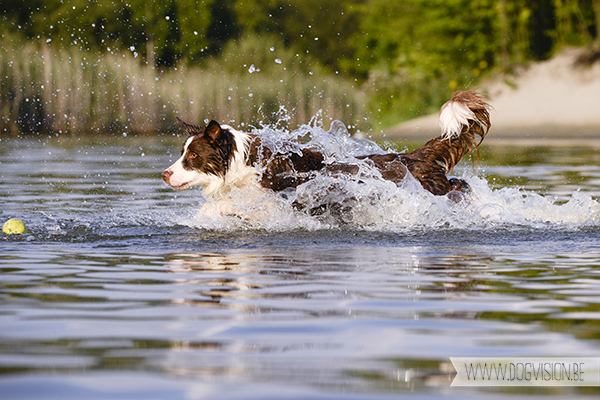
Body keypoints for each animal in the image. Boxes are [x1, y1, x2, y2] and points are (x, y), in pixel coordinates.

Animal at [161, 90, 492, 203]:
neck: (244, 163)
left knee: (457, 187)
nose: (164, 174)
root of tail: (413, 155)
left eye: (193, 155)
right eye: (181, 153)